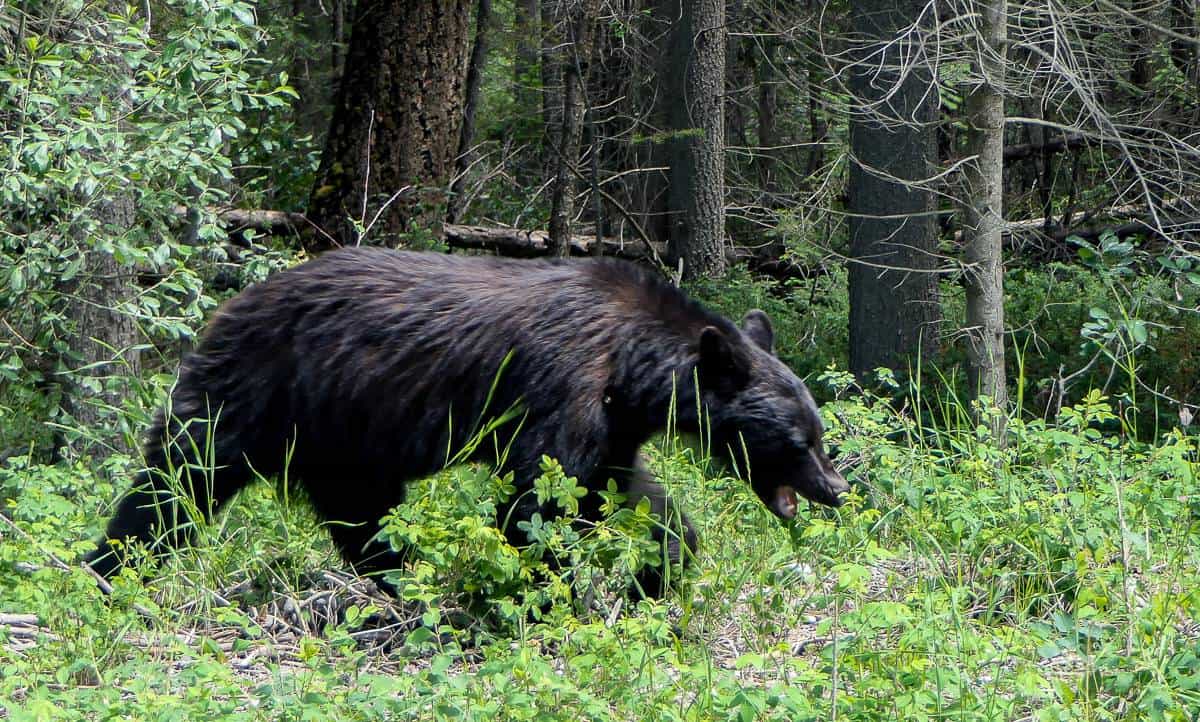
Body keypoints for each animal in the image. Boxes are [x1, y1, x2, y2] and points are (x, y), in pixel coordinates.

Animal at [84, 247, 849, 594]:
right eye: (801, 439)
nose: (836, 489)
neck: (633, 364)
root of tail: (233, 302)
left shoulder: (613, 421)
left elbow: (618, 489)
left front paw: (663, 567)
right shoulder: (561, 386)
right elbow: (539, 498)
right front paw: (545, 590)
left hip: (343, 435)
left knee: (362, 513)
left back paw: (399, 576)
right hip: (257, 391)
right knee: (177, 482)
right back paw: (109, 569)